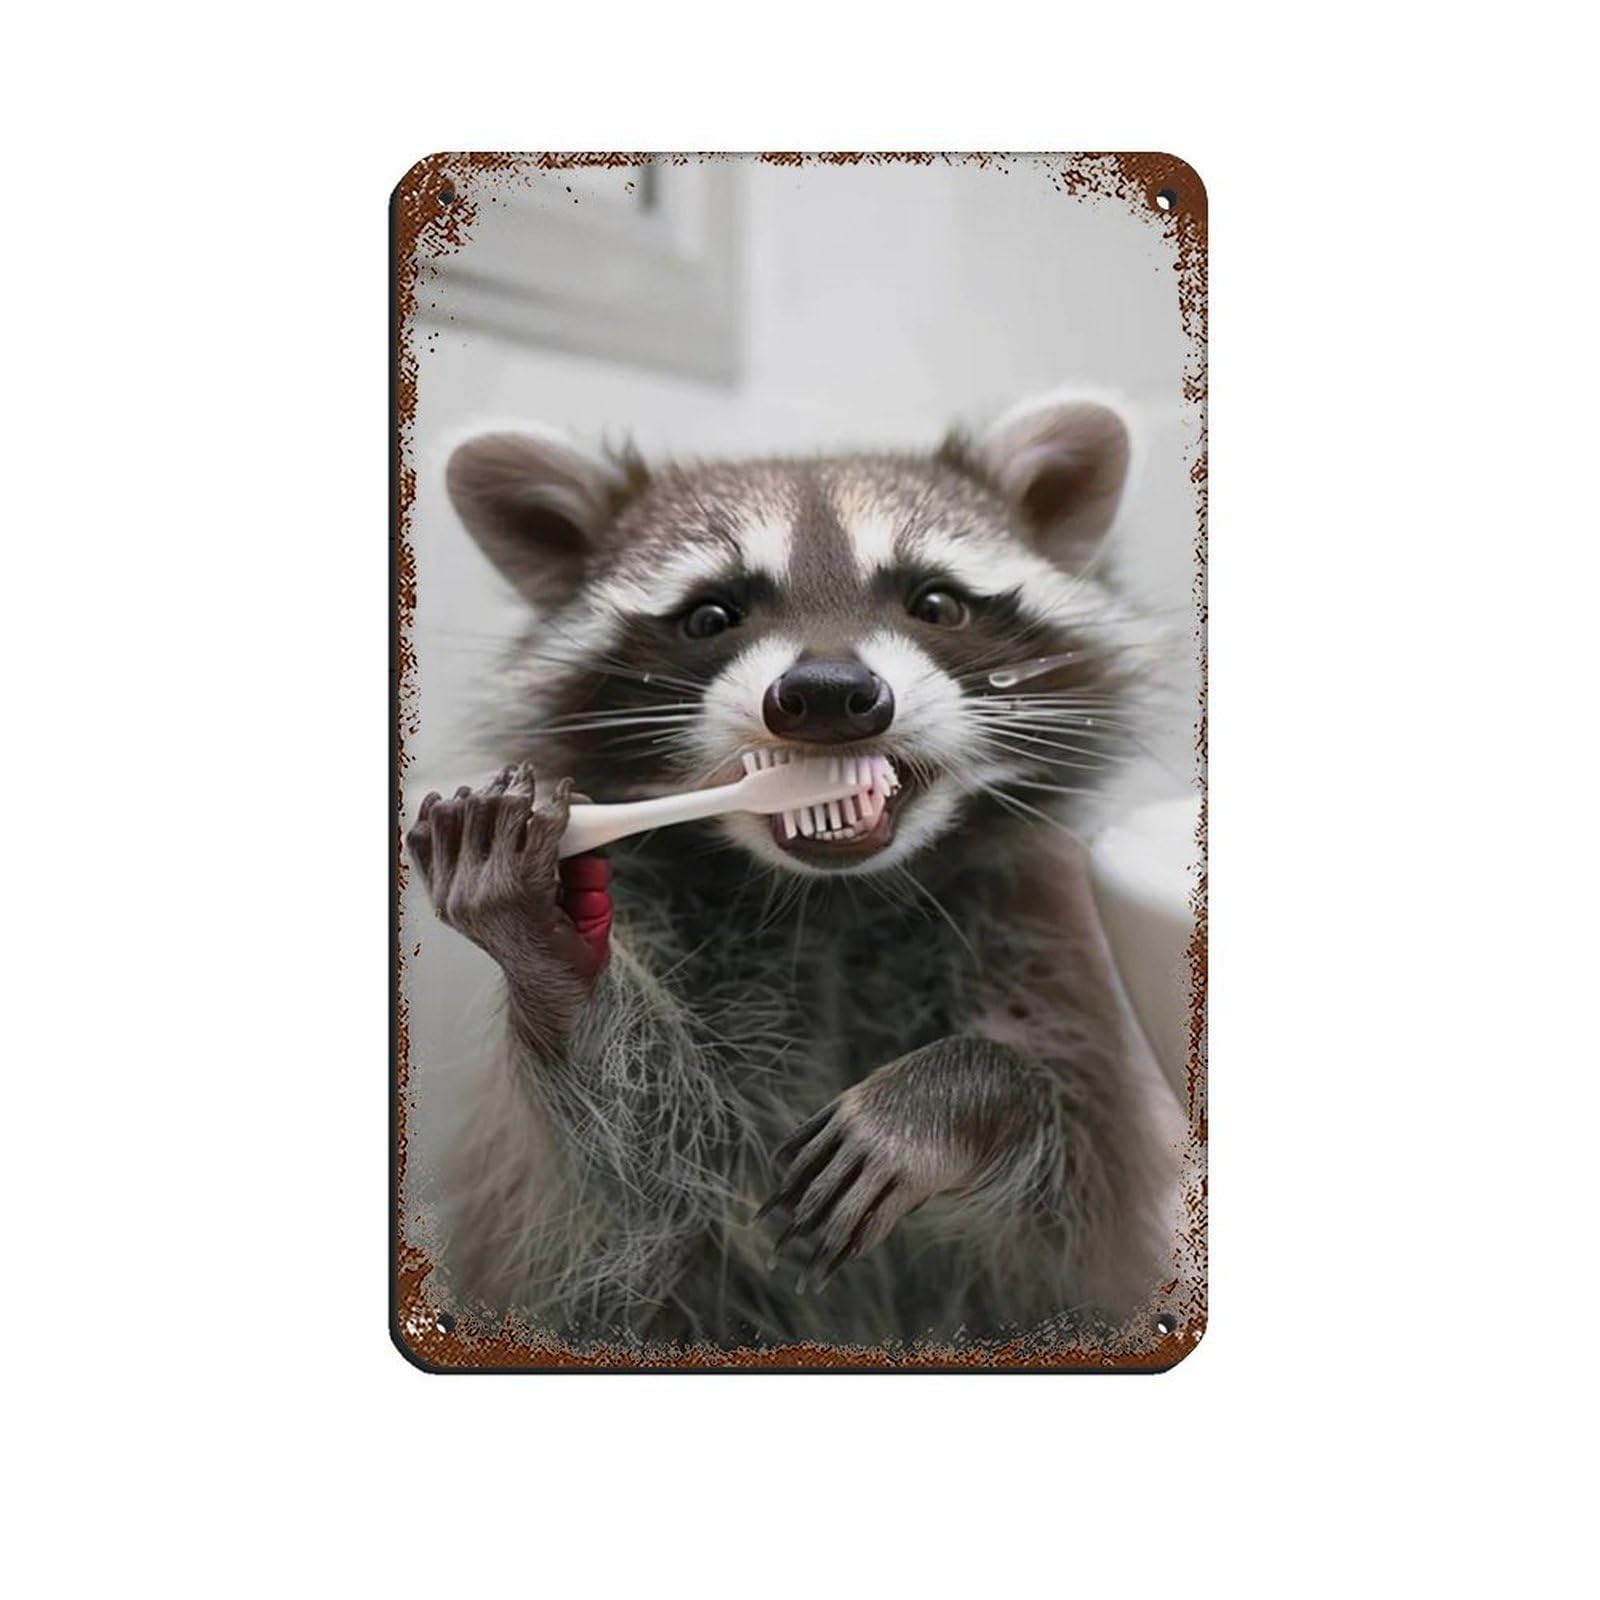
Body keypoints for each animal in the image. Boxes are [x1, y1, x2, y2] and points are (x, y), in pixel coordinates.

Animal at [406, 392, 1179, 1351]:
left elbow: (1072, 1177)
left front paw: (960, 1094)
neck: (833, 897)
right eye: (710, 617)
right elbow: (640, 1175)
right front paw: (553, 963)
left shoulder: (1043, 943)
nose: (828, 694)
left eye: (935, 602)